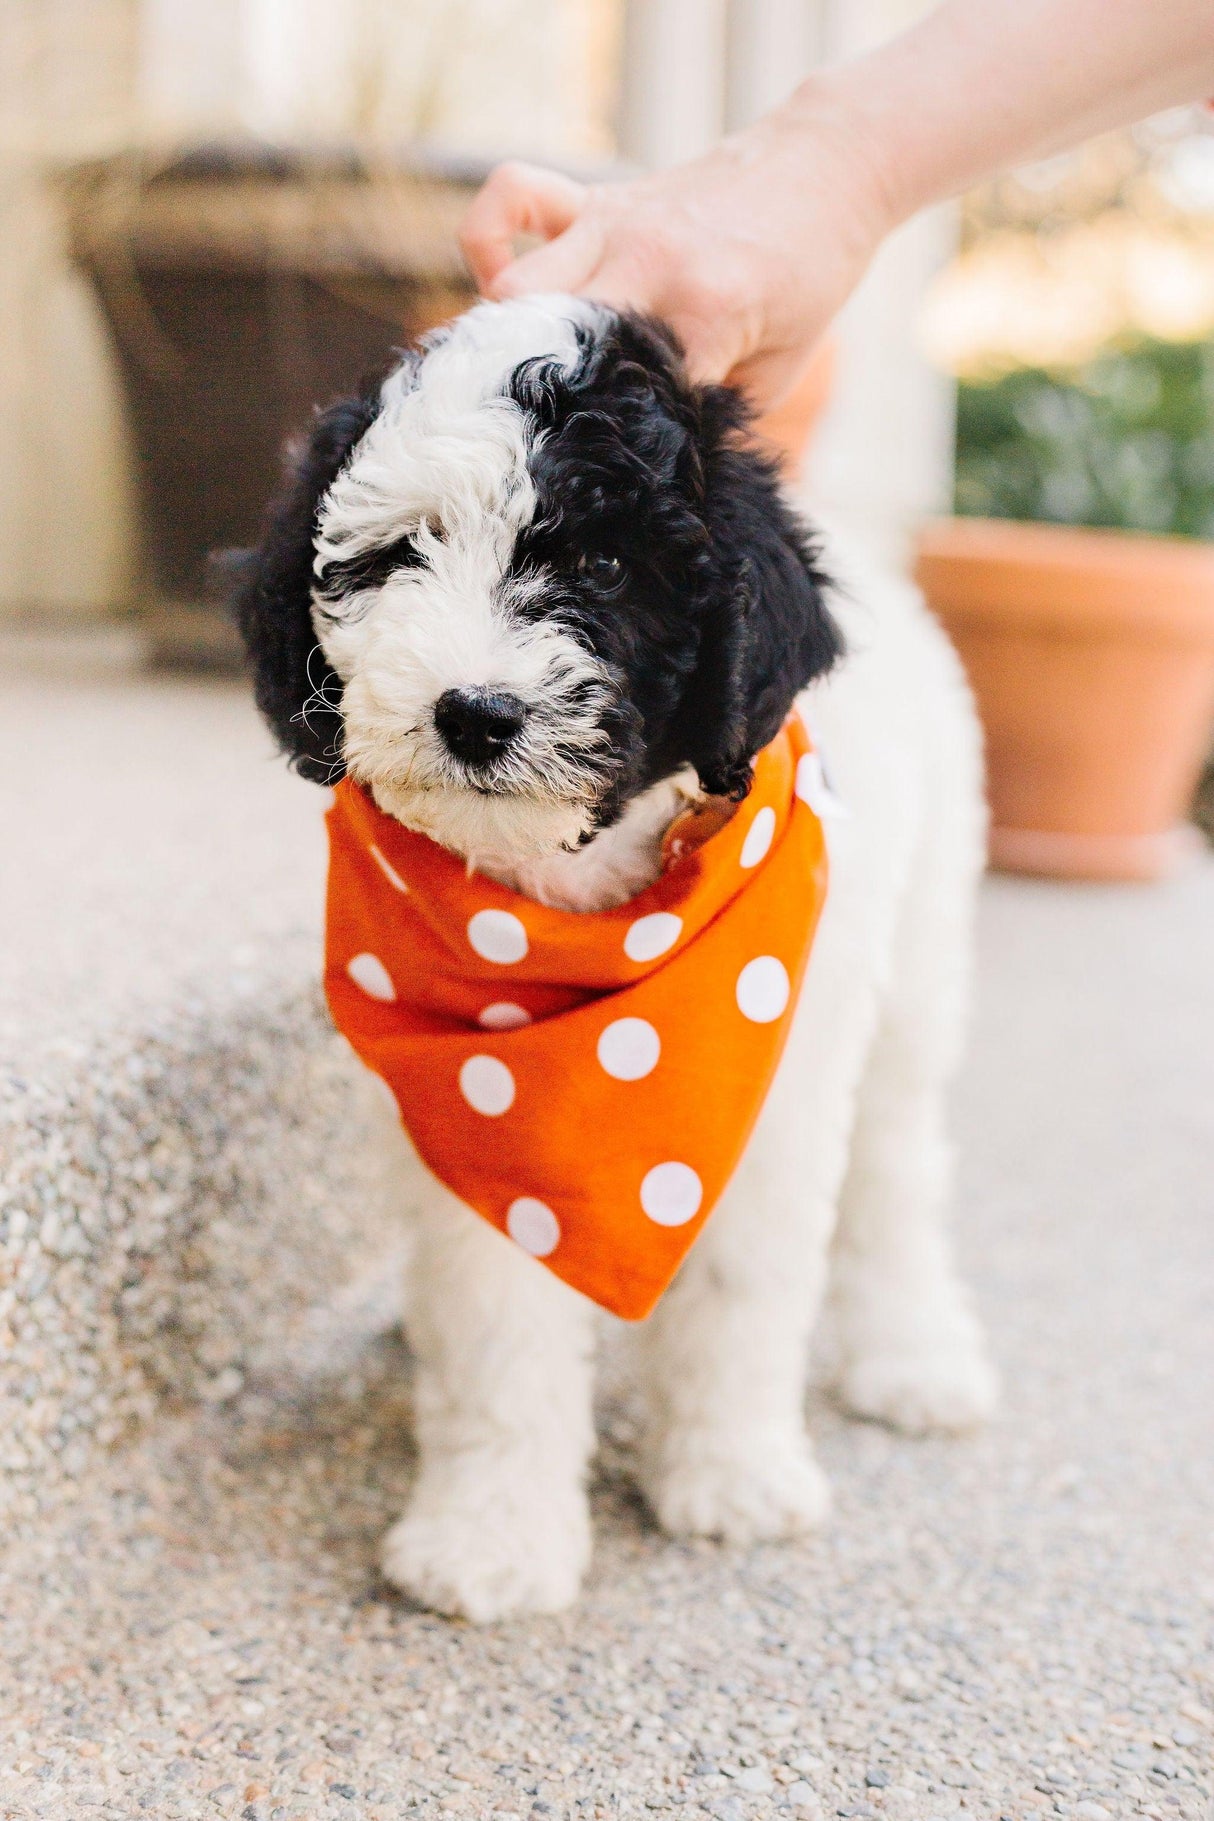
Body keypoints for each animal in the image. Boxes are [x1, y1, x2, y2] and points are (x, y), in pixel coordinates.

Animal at [236, 298, 997, 1624]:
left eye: (599, 568)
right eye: (395, 559)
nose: (474, 711)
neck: (570, 918)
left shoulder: (767, 1089)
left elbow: (748, 1284)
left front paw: (731, 1473)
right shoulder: (479, 1151)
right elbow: (496, 1336)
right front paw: (490, 1535)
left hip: (914, 953)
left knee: (897, 1164)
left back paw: (912, 1351)